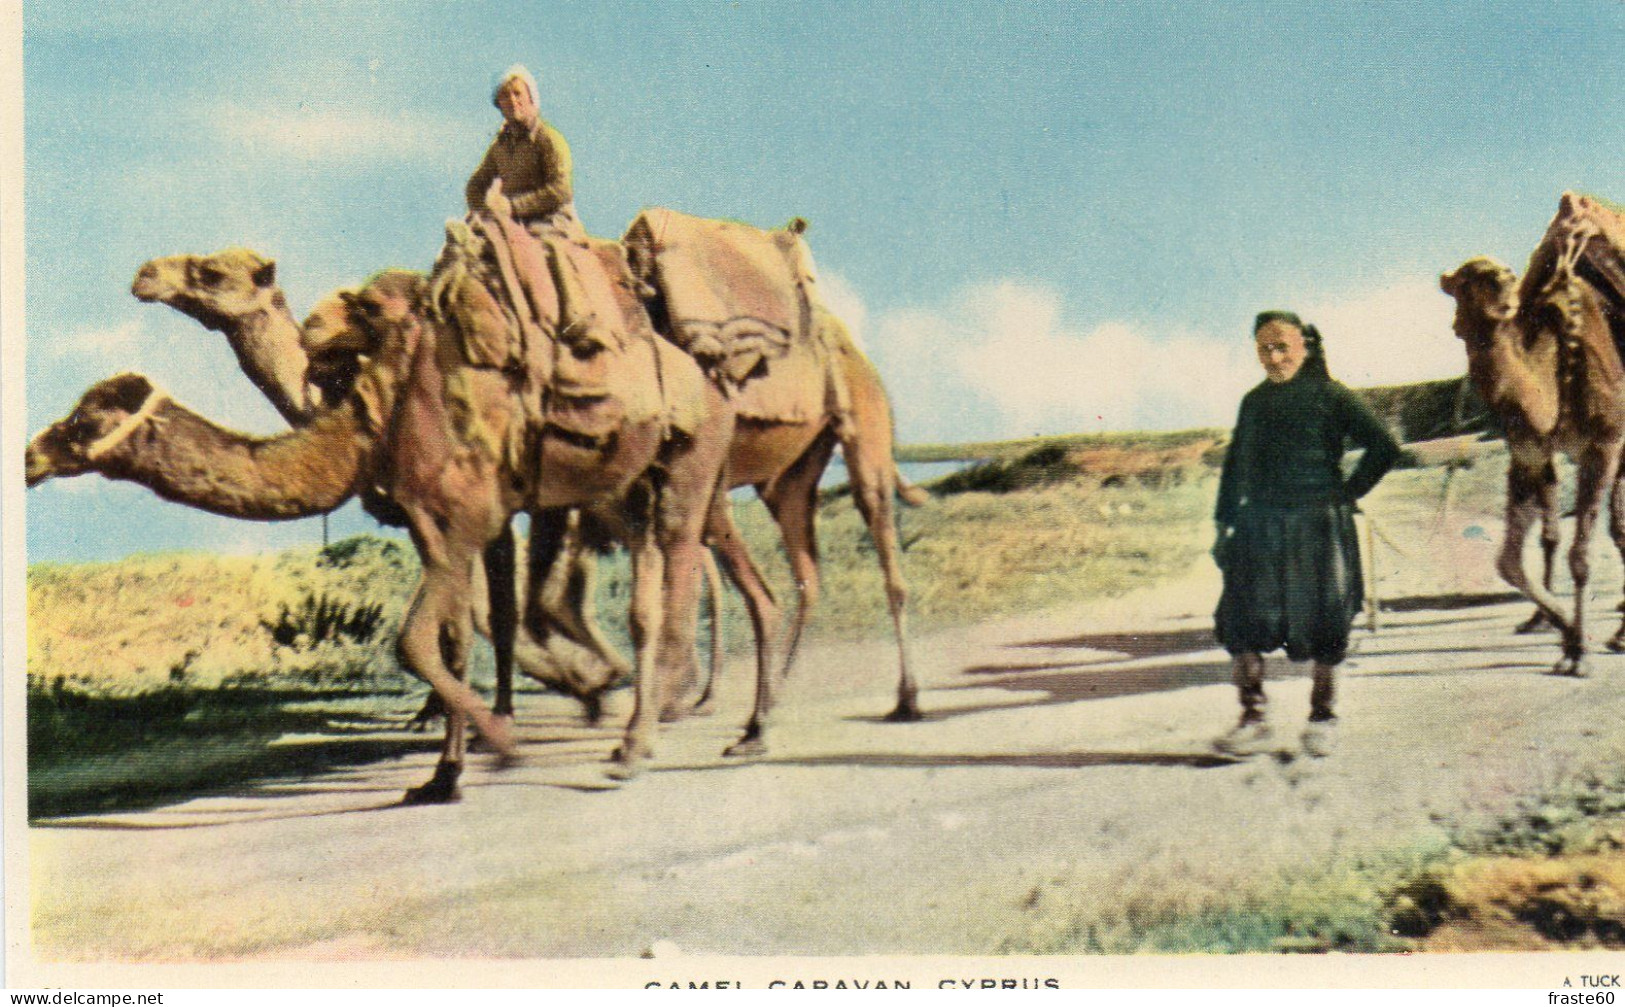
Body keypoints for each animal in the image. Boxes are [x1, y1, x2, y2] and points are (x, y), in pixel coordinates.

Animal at [1443, 202, 1625, 675]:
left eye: (1500, 272)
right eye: (1465, 278)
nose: (1504, 280)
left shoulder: (1604, 444)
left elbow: (1580, 557)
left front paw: (1579, 654)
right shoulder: (1531, 452)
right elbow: (1510, 560)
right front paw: (1566, 631)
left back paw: (1619, 632)